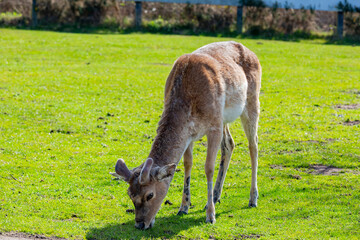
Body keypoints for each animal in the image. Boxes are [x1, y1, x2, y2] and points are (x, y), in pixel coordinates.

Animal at [109, 40, 262, 229]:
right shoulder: (190, 133)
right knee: (230, 144)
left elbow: (208, 167)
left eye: (150, 195)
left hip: (252, 100)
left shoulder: (214, 125)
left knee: (253, 145)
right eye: (130, 194)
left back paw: (252, 199)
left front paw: (210, 216)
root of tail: (251, 52)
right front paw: (183, 207)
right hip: (225, 117)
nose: (140, 224)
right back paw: (216, 197)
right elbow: (187, 163)